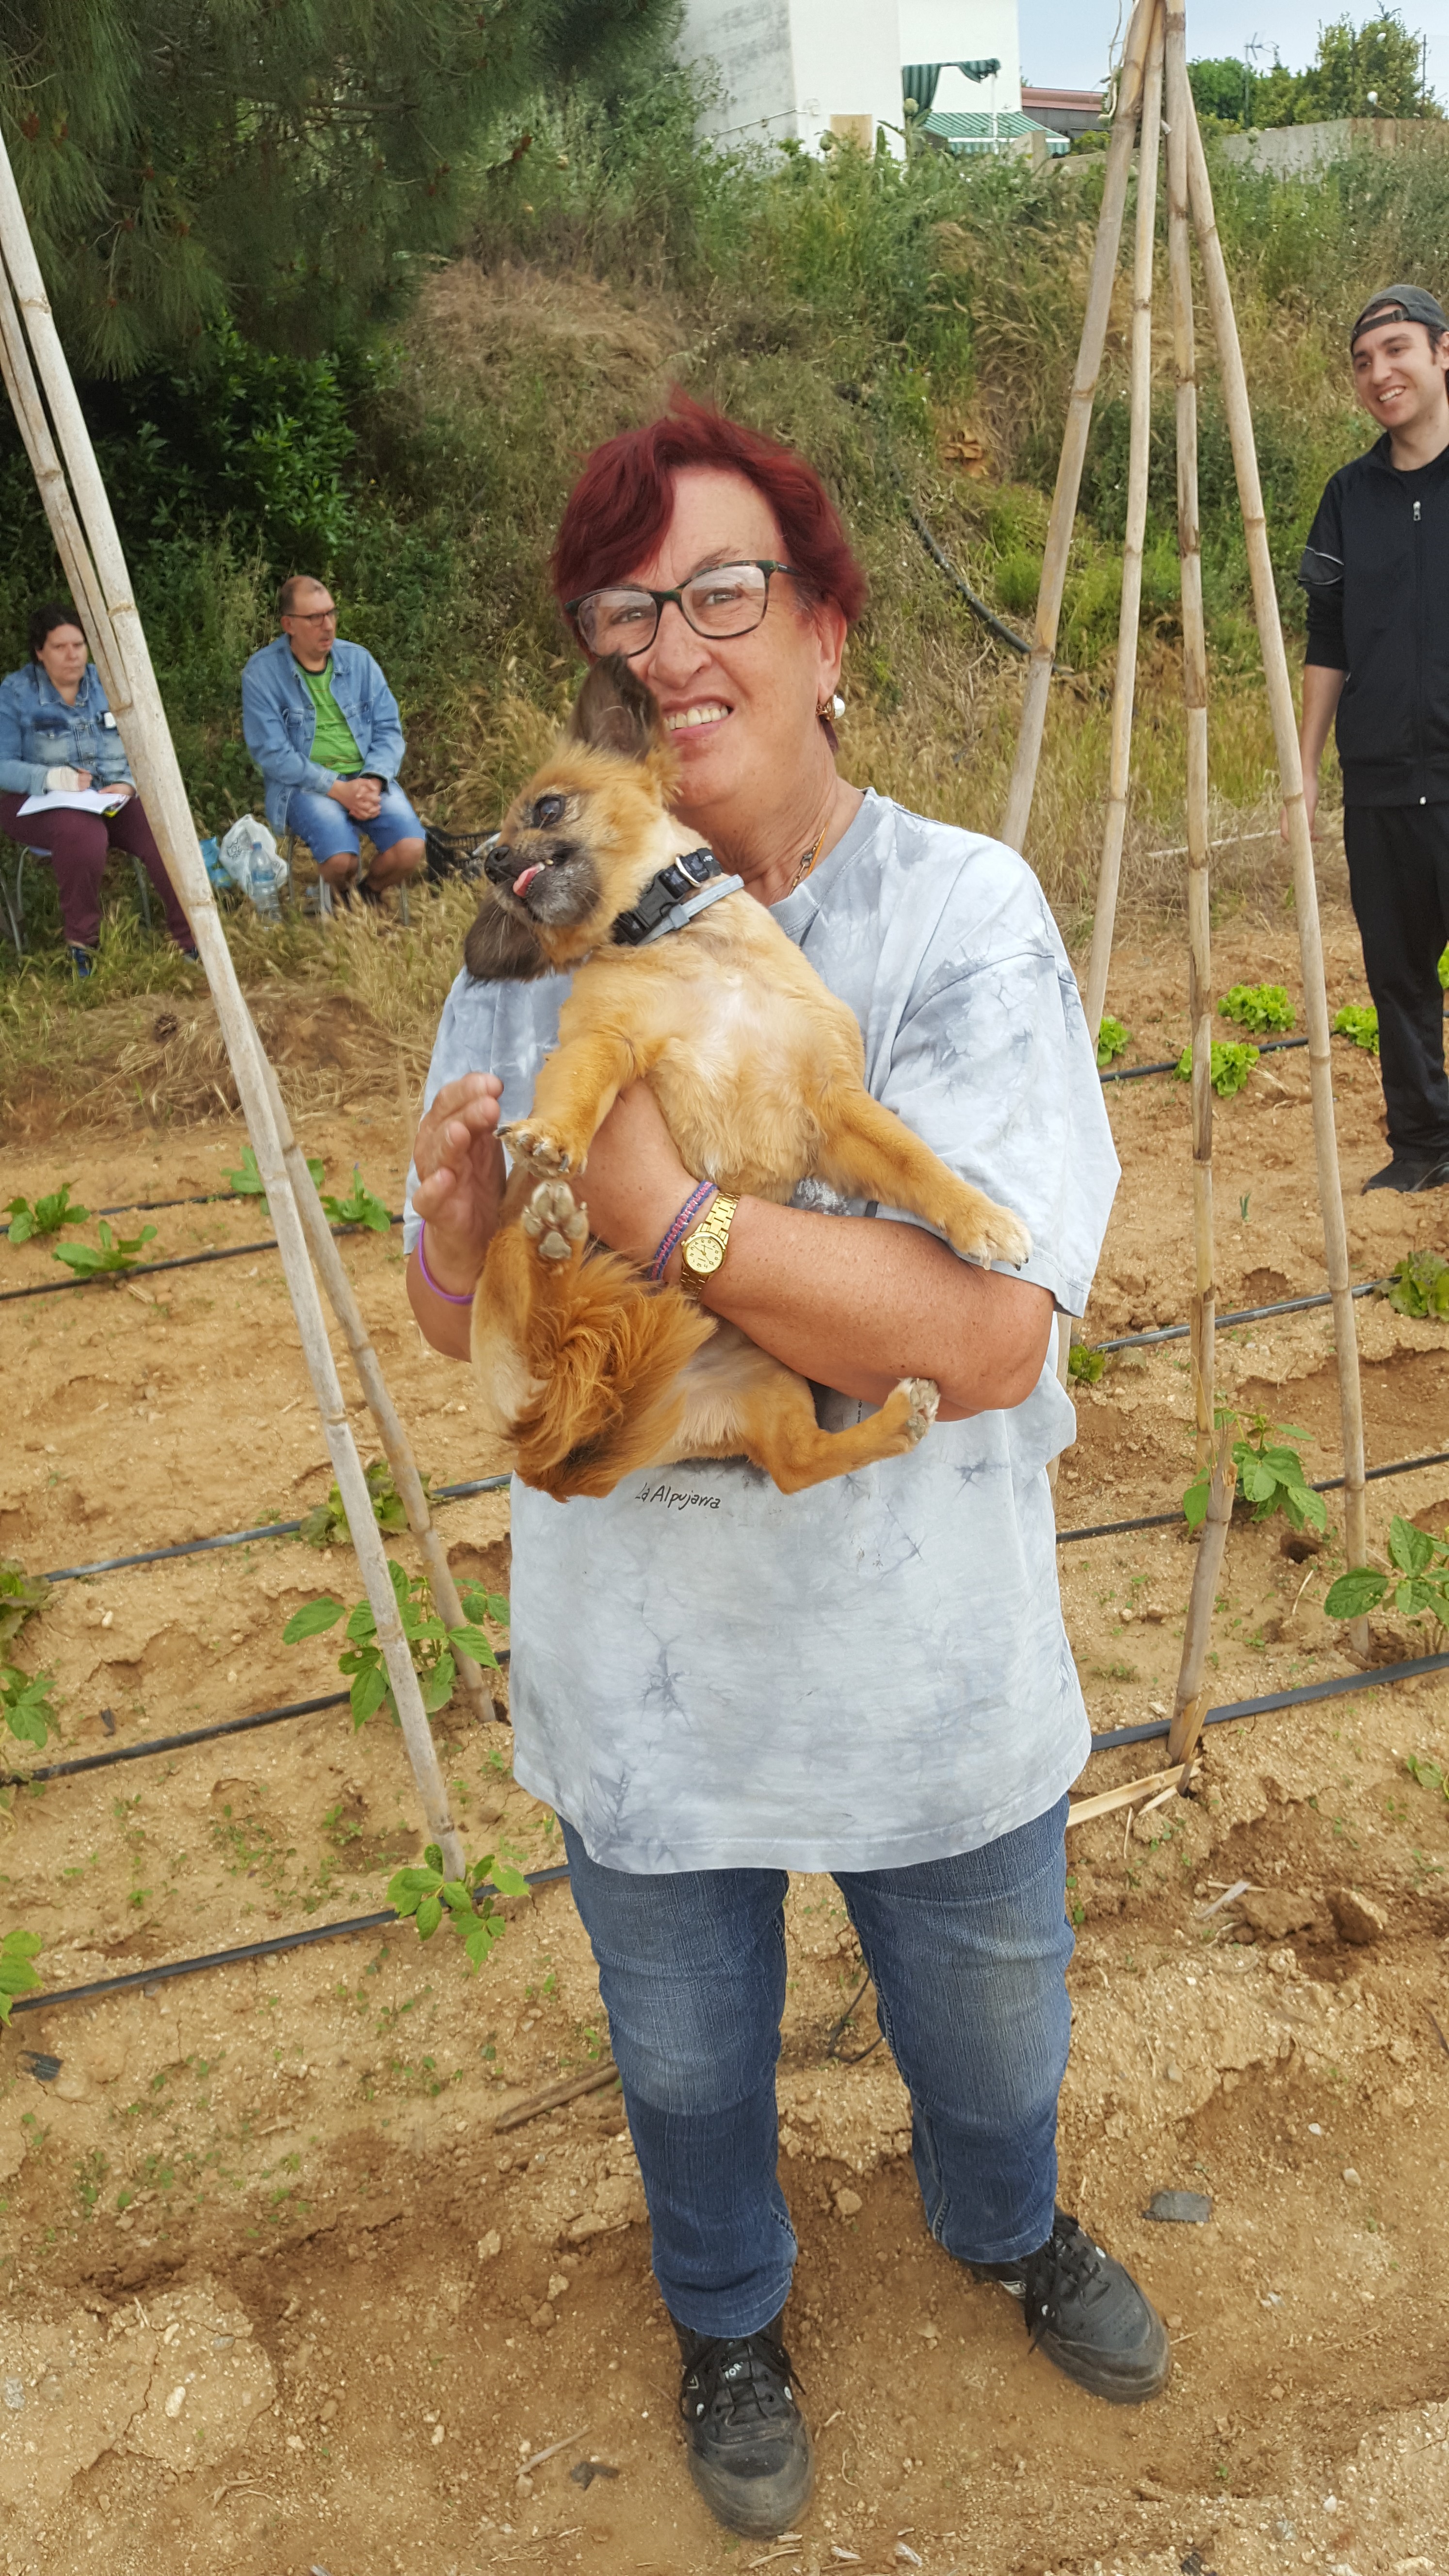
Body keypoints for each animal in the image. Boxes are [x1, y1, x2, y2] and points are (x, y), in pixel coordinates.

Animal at [461, 656, 1031, 1501]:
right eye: (493, 862)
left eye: (548, 808)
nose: (496, 864)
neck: (679, 937)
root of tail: (569, 1448)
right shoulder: (607, 1041)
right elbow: (581, 1087)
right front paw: (553, 1137)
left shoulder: (834, 1106)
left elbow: (916, 1160)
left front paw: (979, 1217)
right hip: (514, 1280)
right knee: (546, 1328)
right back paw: (557, 1242)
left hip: (769, 1380)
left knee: (798, 1465)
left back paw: (898, 1422)